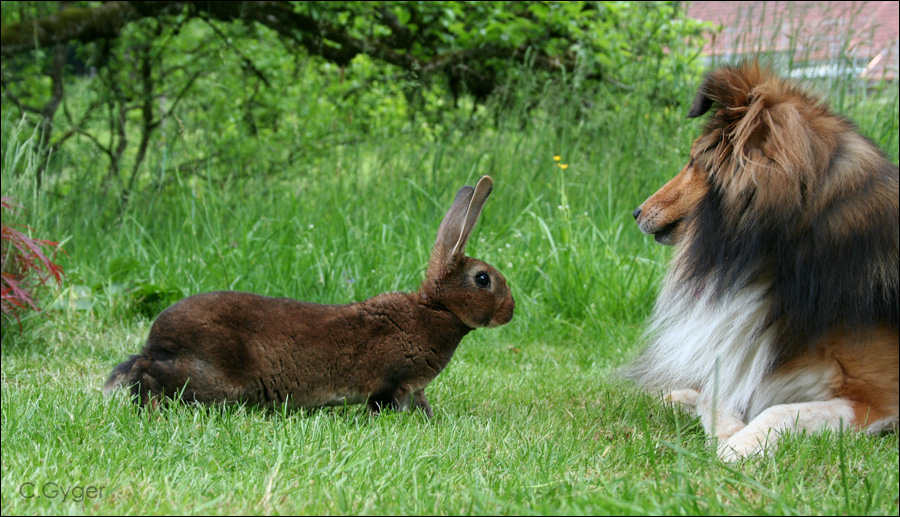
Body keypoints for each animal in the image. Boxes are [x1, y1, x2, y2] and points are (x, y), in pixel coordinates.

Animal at [103, 176, 512, 416]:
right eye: (483, 279)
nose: (509, 312)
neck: (437, 308)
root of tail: (157, 340)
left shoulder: (414, 387)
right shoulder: (394, 382)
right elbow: (387, 402)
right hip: (214, 379)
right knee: (145, 373)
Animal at [628, 61, 896, 460]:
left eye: (693, 161)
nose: (636, 211)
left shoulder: (876, 397)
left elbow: (781, 411)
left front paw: (736, 447)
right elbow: (716, 394)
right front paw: (723, 429)